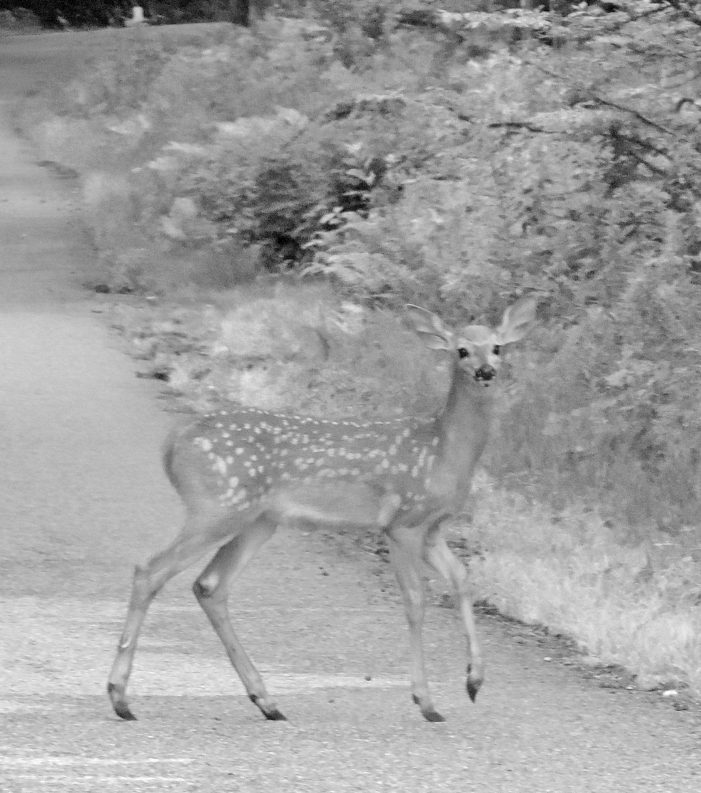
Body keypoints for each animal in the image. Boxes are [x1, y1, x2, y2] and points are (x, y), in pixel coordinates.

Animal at [106, 294, 536, 720]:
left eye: (497, 346)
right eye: (461, 349)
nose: (485, 370)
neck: (443, 451)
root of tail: (172, 443)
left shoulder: (432, 529)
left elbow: (463, 579)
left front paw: (474, 680)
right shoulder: (402, 522)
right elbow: (415, 601)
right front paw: (426, 701)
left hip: (257, 519)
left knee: (209, 585)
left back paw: (266, 701)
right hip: (216, 506)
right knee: (150, 570)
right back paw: (120, 696)